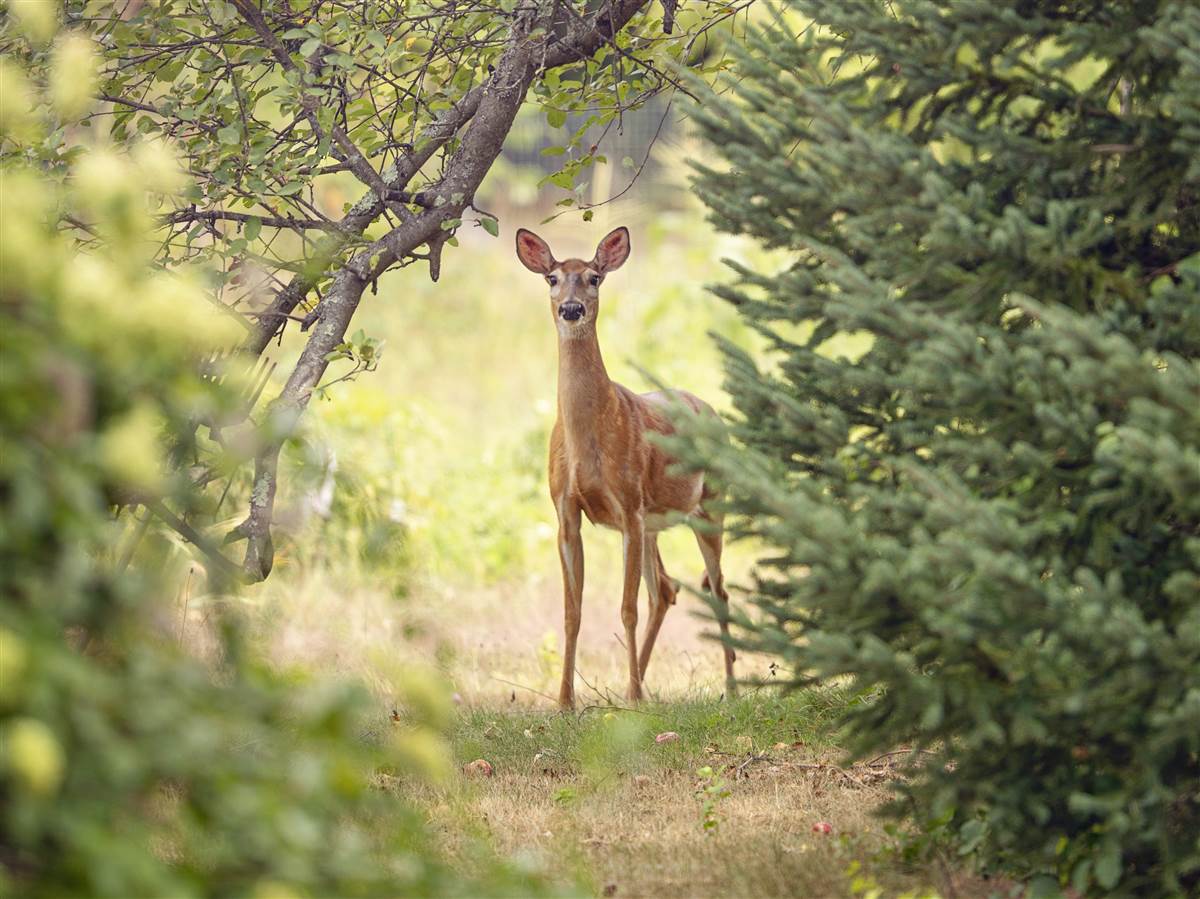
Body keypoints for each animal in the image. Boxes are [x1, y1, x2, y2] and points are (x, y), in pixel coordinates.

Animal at [513, 225, 734, 710]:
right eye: (552, 278)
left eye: (594, 277)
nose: (571, 309)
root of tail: (712, 411)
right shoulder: (565, 510)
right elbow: (572, 612)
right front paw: (565, 701)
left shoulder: (628, 504)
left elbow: (626, 608)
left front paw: (629, 696)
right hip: (654, 524)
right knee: (666, 588)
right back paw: (638, 685)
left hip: (709, 506)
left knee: (717, 589)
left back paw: (728, 686)